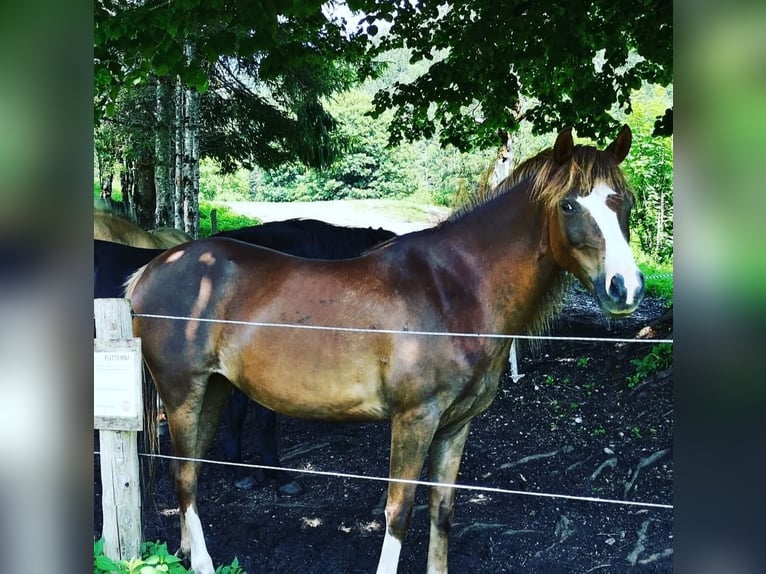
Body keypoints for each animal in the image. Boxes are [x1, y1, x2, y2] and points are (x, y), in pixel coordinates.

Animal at [126, 127, 648, 574]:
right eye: (569, 205)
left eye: (625, 202)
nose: (625, 288)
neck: (453, 289)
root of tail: (152, 269)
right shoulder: (414, 420)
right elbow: (399, 512)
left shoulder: (456, 425)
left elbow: (442, 510)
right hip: (182, 394)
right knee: (185, 477)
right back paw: (202, 562)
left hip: (212, 391)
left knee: (189, 470)